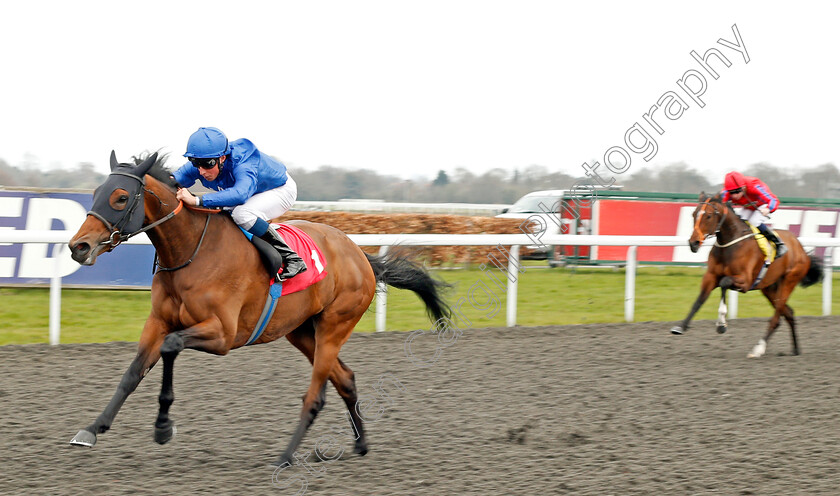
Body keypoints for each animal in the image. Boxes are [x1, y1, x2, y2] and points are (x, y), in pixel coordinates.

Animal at [672, 192, 824, 358]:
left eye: (709, 216)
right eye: (694, 214)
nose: (693, 243)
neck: (730, 242)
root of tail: (802, 250)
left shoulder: (744, 281)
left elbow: (724, 282)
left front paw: (721, 324)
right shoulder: (710, 277)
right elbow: (698, 301)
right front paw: (681, 327)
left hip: (789, 281)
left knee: (777, 316)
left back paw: (758, 349)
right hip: (769, 287)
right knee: (788, 313)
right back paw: (796, 350)